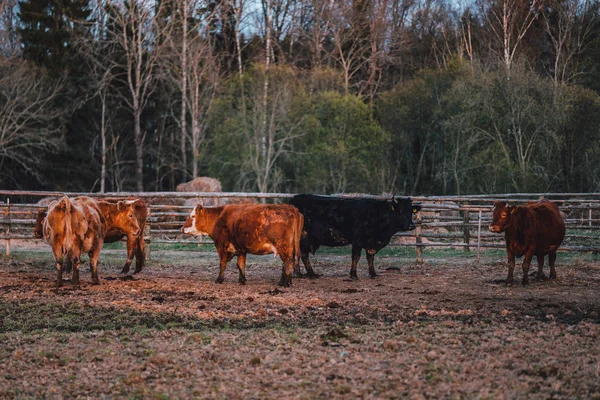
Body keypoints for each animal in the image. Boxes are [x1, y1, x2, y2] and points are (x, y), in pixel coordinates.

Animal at [288, 195, 420, 280]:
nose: (411, 225)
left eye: (411, 211)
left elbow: (370, 258)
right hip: (304, 237)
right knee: (303, 254)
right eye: (401, 211)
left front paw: (373, 274)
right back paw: (311, 274)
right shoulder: (358, 239)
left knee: (297, 254)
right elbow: (356, 257)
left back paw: (299, 274)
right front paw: (353, 275)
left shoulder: (371, 243)